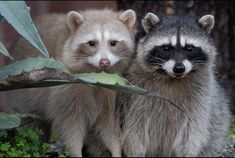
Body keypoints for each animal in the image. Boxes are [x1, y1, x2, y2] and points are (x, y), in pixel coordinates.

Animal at [7, 8, 136, 157]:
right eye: (92, 43)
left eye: (113, 43)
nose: (104, 62)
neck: (96, 73)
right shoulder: (65, 86)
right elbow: (71, 125)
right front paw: (75, 152)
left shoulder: (112, 89)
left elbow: (108, 124)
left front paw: (116, 150)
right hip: (22, 96)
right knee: (31, 126)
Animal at [117, 12, 231, 157]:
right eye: (166, 48)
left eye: (189, 48)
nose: (179, 68)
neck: (172, 78)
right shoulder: (135, 93)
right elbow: (135, 127)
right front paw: (136, 151)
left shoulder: (202, 96)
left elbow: (192, 130)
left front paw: (188, 152)